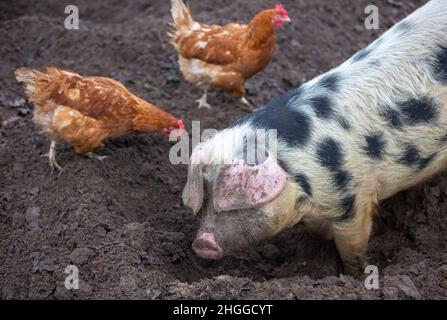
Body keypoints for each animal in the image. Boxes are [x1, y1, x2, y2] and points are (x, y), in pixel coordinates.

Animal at [181, 0, 447, 276]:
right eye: (205, 195)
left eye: (235, 203)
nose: (201, 243)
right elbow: (316, 230)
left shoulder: (355, 200)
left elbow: (352, 247)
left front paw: (355, 273)